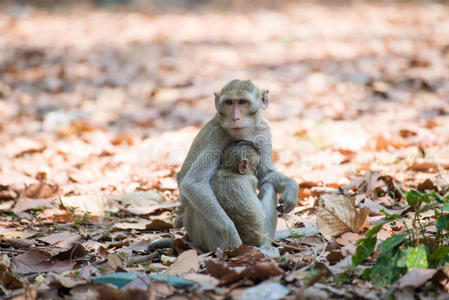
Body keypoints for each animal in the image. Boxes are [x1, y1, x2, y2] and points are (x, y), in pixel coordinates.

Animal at [175, 79, 298, 253]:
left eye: (242, 102)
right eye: (229, 103)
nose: (235, 117)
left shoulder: (263, 131)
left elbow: (265, 175)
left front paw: (292, 186)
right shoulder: (217, 135)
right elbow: (193, 184)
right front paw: (231, 233)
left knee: (269, 185)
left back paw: (265, 246)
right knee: (195, 203)